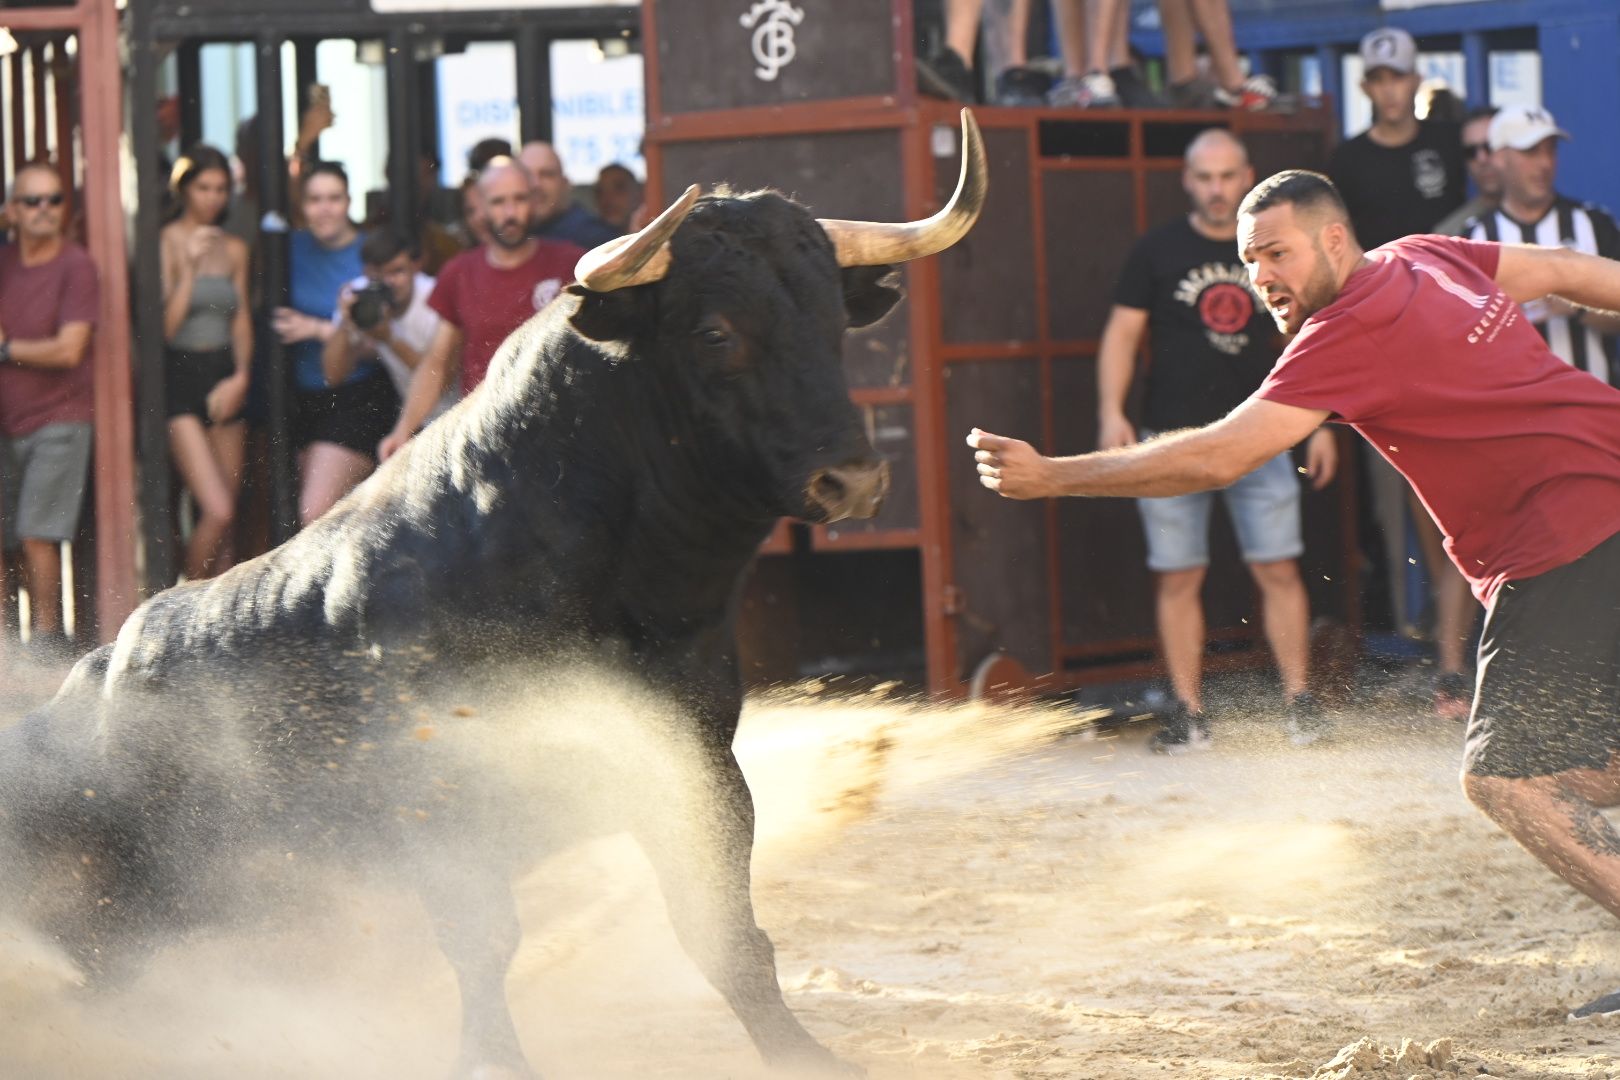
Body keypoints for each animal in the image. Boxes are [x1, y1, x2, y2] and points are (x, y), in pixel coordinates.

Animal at [0, 114, 984, 1075]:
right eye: (715, 332)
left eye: (835, 325)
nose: (850, 480)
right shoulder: (445, 803)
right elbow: (483, 941)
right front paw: (493, 1058)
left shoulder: (697, 766)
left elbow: (724, 934)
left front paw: (801, 1054)